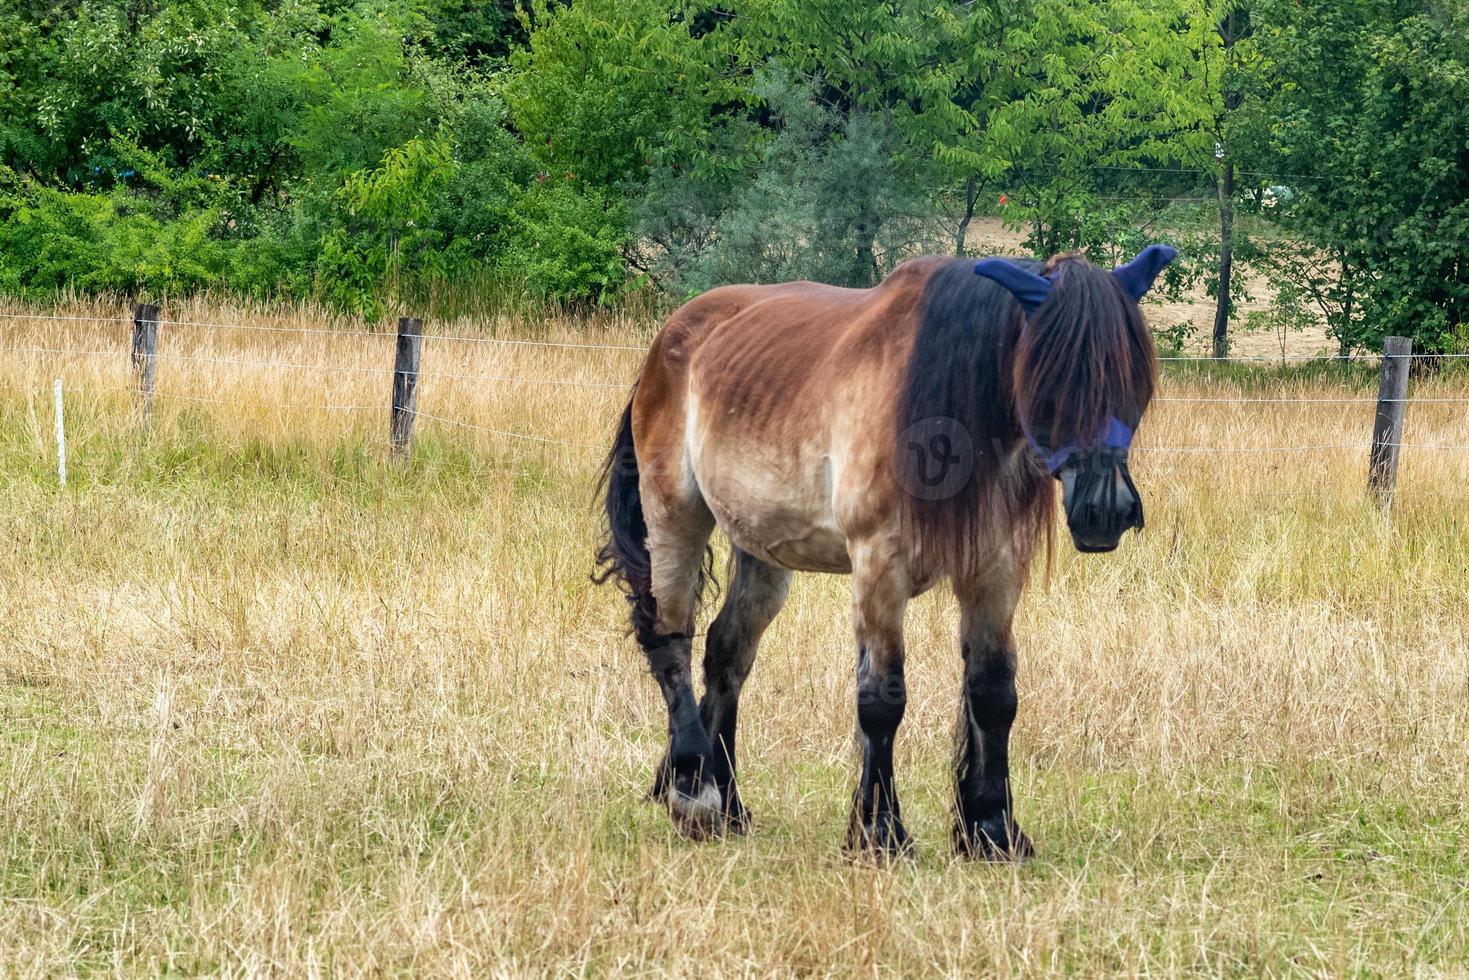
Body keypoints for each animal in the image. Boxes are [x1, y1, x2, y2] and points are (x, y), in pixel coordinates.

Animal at [590, 245, 1175, 858]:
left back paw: (725, 801)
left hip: (761, 547)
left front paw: (992, 829)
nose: (1104, 510)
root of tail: (671, 336)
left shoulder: (995, 570)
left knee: (727, 653)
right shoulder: (878, 566)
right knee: (670, 642)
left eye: (1135, 380)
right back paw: (692, 792)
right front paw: (880, 832)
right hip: (674, 519)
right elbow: (882, 698)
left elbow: (994, 691)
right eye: (1056, 381)